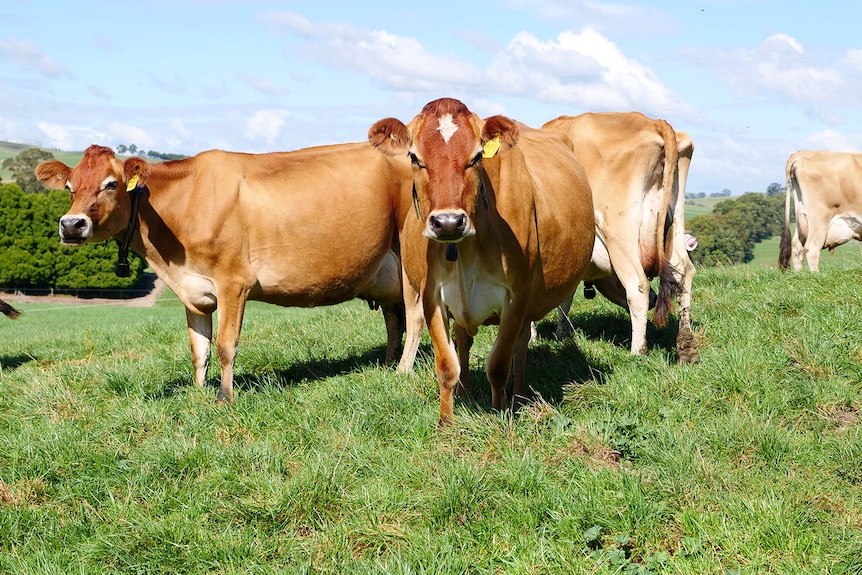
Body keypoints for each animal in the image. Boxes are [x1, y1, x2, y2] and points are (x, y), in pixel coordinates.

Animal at [39, 144, 416, 404]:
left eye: (111, 184)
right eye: (70, 187)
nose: (71, 225)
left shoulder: (234, 283)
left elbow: (224, 346)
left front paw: (224, 397)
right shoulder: (194, 291)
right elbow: (199, 349)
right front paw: (198, 392)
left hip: (413, 260)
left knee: (414, 317)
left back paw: (403, 369)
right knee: (394, 318)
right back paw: (385, 364)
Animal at [368, 98, 596, 424]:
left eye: (476, 157)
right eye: (414, 157)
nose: (448, 222)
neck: (466, 250)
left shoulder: (516, 298)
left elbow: (499, 365)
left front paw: (499, 414)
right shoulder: (432, 296)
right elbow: (446, 365)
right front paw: (446, 423)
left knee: (520, 345)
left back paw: (518, 395)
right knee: (464, 340)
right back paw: (465, 392)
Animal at [544, 113, 704, 364]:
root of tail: (653, 122)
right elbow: (565, 297)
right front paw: (562, 334)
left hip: (619, 234)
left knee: (638, 286)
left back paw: (637, 351)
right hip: (675, 220)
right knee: (684, 272)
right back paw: (687, 348)